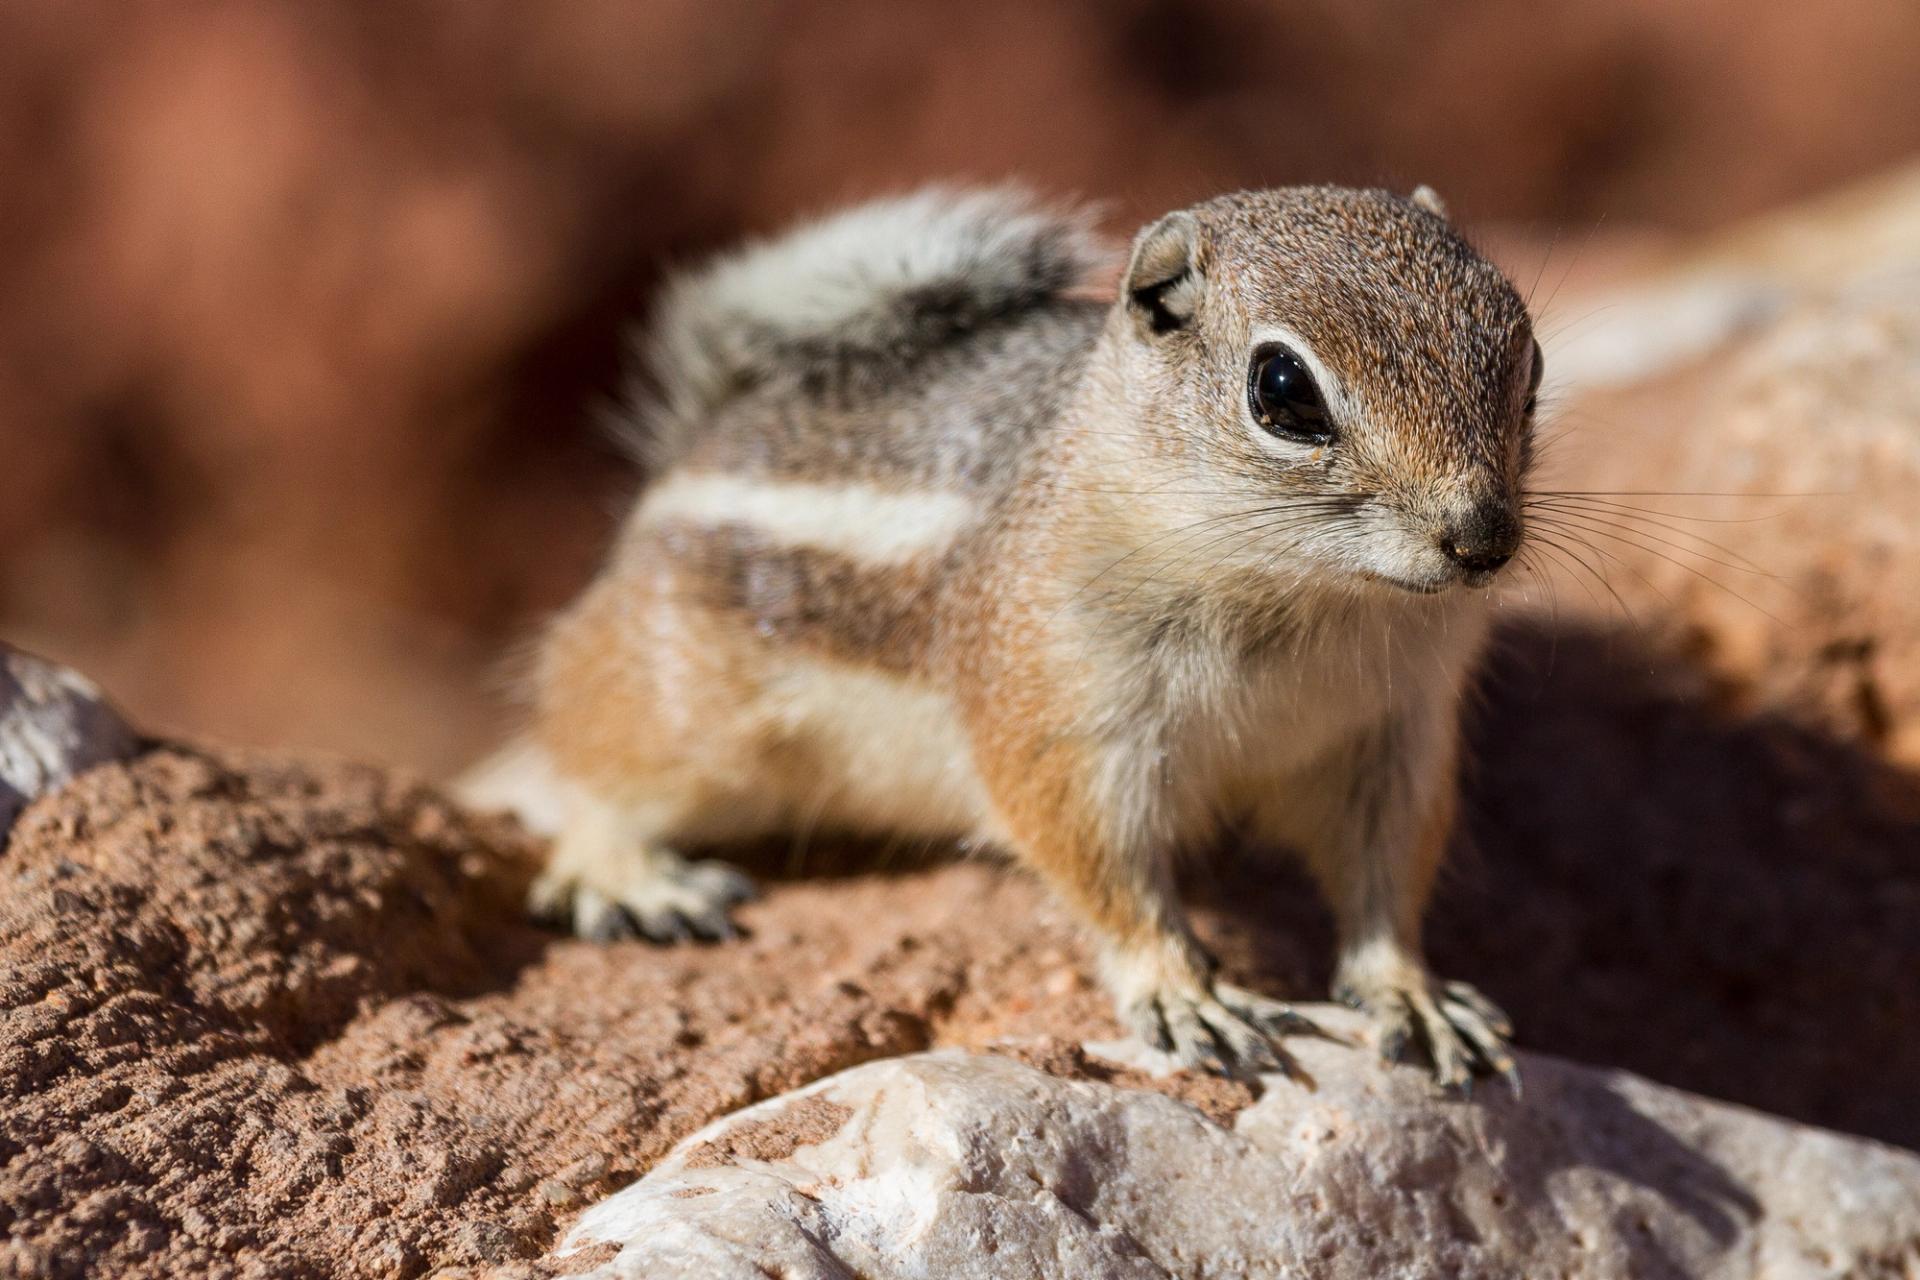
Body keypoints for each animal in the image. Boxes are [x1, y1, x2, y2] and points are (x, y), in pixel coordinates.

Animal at [465, 183, 1541, 1085]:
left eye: (1528, 366)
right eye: (1283, 390)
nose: (1482, 539)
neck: (1307, 597)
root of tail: (695, 440)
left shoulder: (1392, 735)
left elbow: (1386, 868)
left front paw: (1411, 991)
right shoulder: (1057, 709)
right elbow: (1098, 864)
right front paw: (1184, 992)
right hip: (681, 714)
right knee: (586, 764)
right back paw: (627, 876)